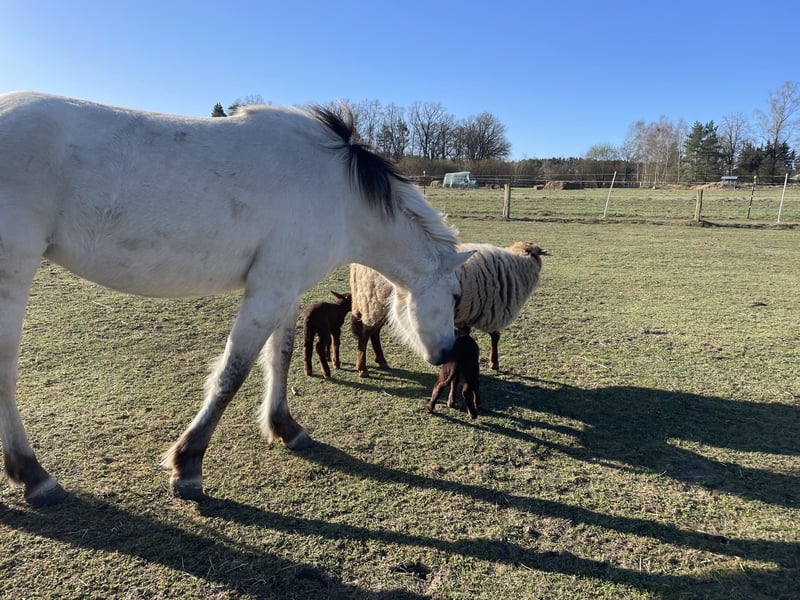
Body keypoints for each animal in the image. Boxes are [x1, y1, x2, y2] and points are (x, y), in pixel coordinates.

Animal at [0, 92, 472, 505]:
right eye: (454, 294)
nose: (447, 351)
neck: (338, 192)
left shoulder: (284, 289)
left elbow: (280, 357)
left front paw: (286, 428)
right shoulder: (268, 291)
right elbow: (233, 373)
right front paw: (188, 464)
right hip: (12, 271)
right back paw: (34, 476)